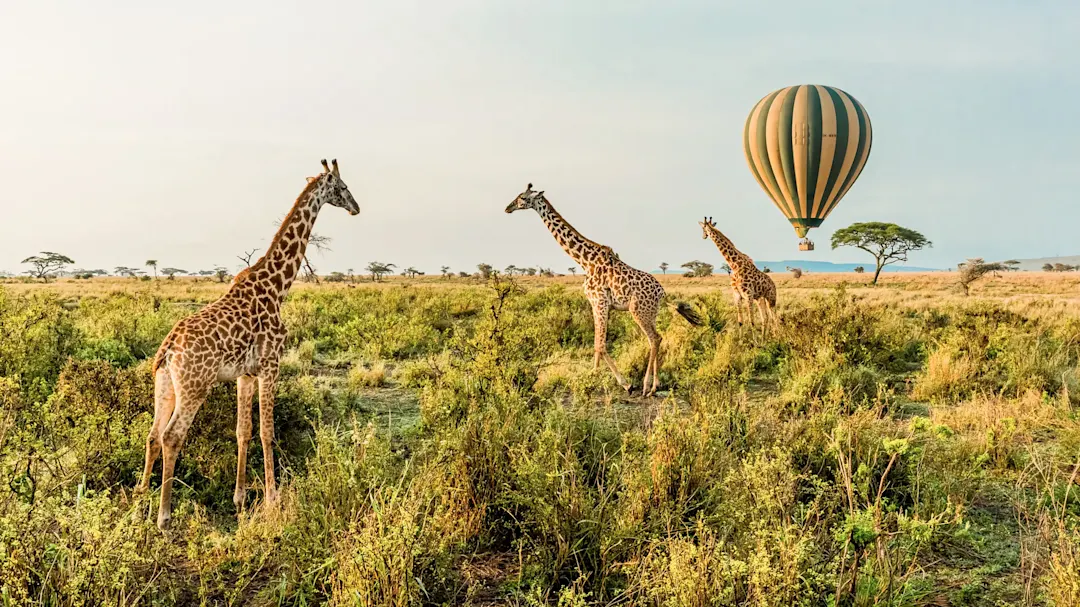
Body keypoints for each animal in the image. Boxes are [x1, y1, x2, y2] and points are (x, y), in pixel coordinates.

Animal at [136, 158, 358, 527]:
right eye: (342, 187)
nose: (356, 207)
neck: (278, 287)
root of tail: (168, 349)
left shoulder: (245, 373)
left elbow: (243, 430)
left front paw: (239, 499)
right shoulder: (271, 365)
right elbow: (268, 432)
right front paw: (272, 499)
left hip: (165, 384)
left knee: (153, 435)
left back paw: (140, 497)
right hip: (195, 387)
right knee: (171, 436)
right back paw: (164, 518)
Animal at [503, 181, 699, 395]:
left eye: (522, 198)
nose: (508, 208)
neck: (584, 261)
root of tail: (662, 292)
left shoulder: (600, 301)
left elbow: (600, 345)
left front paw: (625, 383)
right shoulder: (597, 304)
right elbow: (597, 344)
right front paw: (593, 375)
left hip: (638, 310)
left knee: (654, 339)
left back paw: (646, 386)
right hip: (650, 312)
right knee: (657, 338)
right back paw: (655, 386)